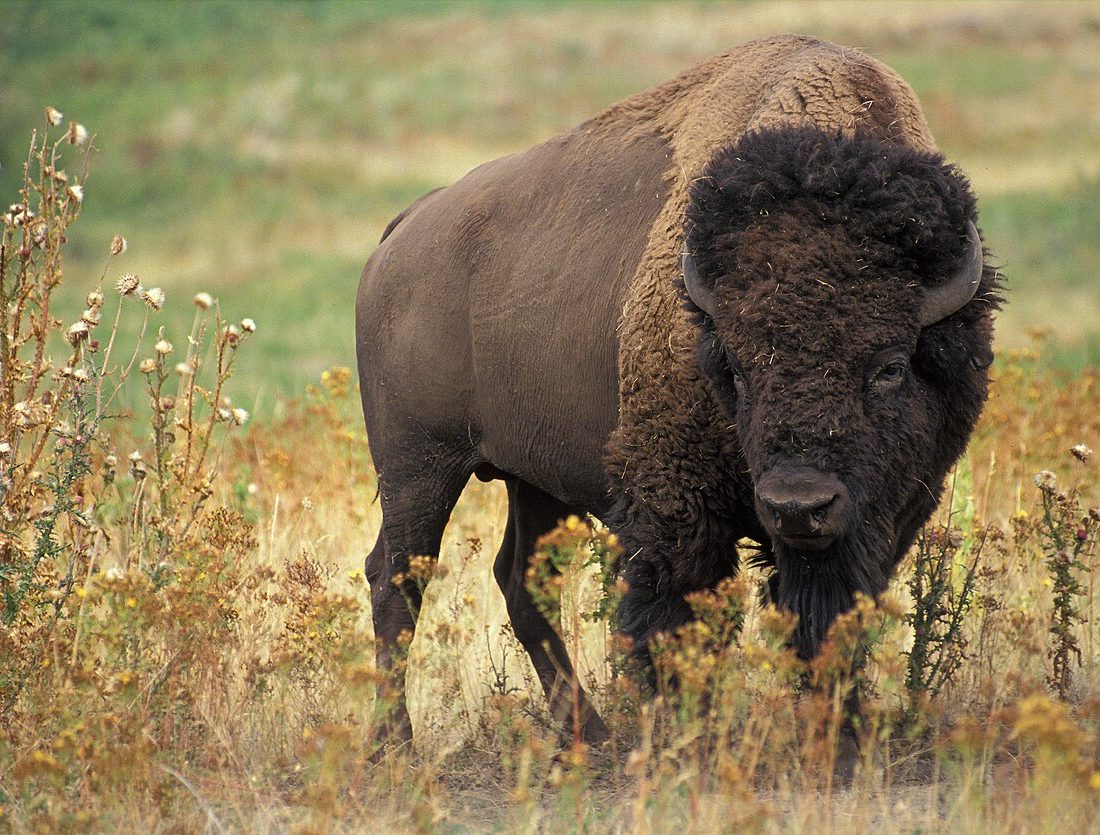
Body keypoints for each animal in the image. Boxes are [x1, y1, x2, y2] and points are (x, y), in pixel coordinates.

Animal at [356, 34, 1000, 745]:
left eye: (889, 366)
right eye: (736, 368)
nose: (798, 505)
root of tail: (406, 229)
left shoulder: (884, 517)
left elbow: (830, 621)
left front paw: (837, 735)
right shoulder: (677, 509)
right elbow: (676, 621)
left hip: (532, 477)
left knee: (519, 580)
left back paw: (589, 735)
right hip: (419, 466)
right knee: (397, 578)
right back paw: (396, 743)